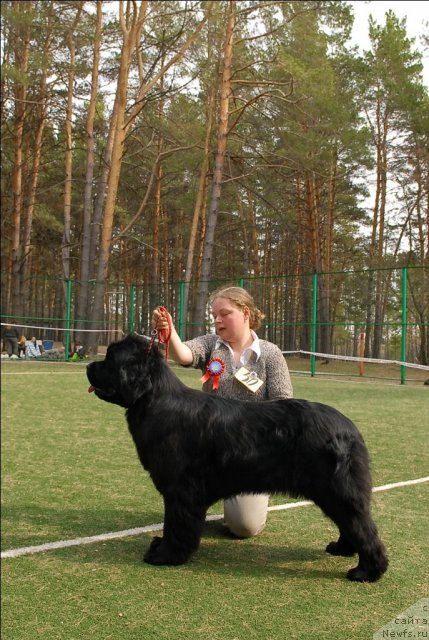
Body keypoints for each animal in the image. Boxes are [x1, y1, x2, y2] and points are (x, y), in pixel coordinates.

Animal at [87, 336, 388, 580]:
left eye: (111, 358)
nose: (89, 366)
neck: (155, 400)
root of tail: (350, 428)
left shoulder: (181, 490)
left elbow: (175, 524)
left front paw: (166, 556)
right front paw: (161, 547)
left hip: (335, 489)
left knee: (362, 526)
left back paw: (367, 571)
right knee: (351, 523)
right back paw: (342, 549)